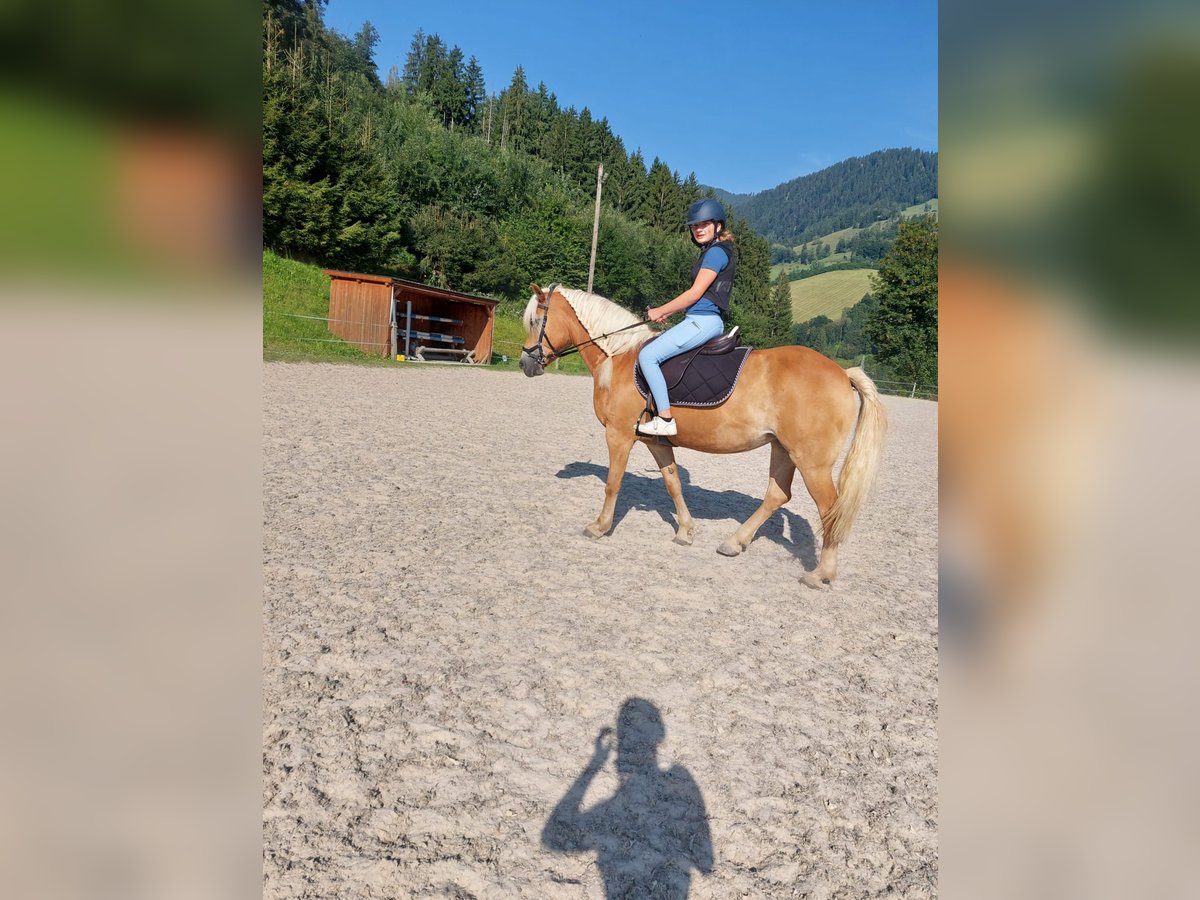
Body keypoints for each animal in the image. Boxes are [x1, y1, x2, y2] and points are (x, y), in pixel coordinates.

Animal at [519, 283, 887, 588]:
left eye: (536, 321)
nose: (526, 364)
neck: (619, 357)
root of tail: (842, 373)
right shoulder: (655, 442)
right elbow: (672, 483)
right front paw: (685, 531)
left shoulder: (619, 435)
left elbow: (613, 483)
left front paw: (599, 527)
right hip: (784, 449)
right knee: (777, 495)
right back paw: (734, 543)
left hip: (812, 462)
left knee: (829, 509)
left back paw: (821, 574)